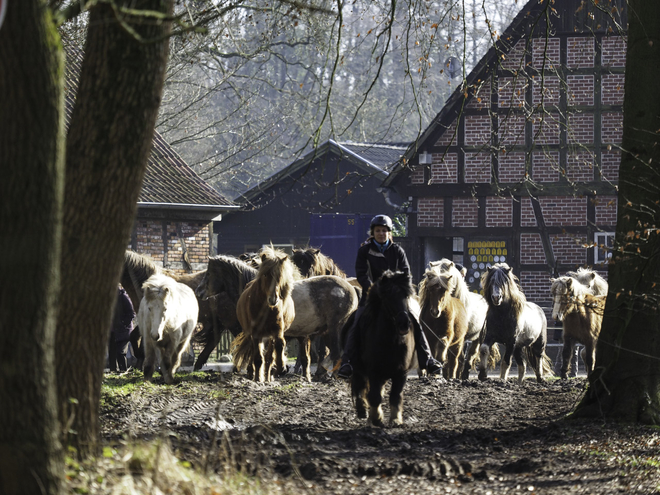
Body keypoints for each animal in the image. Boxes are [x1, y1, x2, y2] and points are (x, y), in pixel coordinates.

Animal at [236, 248, 296, 384]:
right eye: (265, 275)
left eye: (280, 276)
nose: (273, 299)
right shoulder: (255, 333)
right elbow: (258, 357)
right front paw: (258, 378)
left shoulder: (277, 330)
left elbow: (280, 344)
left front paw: (281, 367)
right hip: (251, 334)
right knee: (253, 352)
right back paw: (253, 373)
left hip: (269, 336)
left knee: (269, 356)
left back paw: (269, 376)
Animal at [346, 270, 418, 428]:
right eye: (388, 297)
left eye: (406, 296)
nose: (404, 324)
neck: (391, 341)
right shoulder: (373, 371)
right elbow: (374, 395)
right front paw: (376, 419)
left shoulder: (401, 373)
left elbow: (395, 396)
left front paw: (396, 420)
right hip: (358, 368)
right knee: (360, 387)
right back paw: (362, 410)